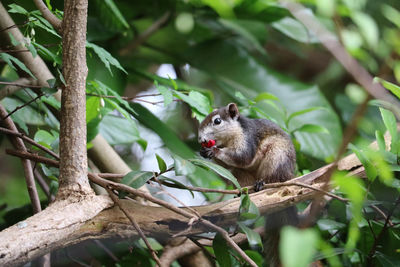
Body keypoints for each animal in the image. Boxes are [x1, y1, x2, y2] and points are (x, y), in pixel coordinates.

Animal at [198, 103, 298, 267]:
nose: (201, 139)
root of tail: (289, 176)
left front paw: (215, 150)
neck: (228, 139)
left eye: (217, 121)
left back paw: (263, 183)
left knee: (273, 177)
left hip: (276, 156)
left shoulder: (247, 141)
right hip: (240, 174)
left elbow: (243, 157)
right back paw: (244, 193)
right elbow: (227, 164)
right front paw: (204, 152)